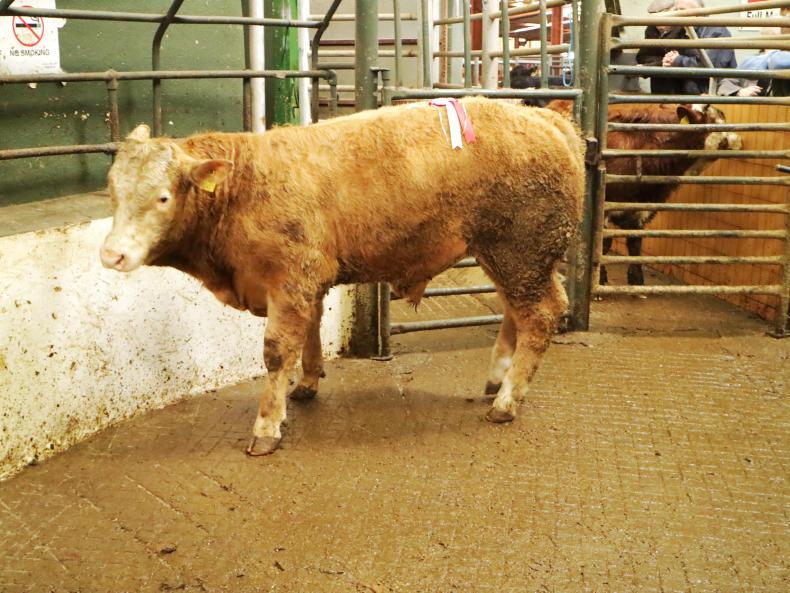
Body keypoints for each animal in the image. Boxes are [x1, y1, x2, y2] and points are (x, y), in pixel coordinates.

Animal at [99, 98, 585, 456]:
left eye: (163, 197)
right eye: (112, 189)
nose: (111, 254)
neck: (245, 187)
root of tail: (544, 117)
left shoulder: (291, 278)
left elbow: (277, 351)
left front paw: (266, 427)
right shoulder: (306, 280)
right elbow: (311, 329)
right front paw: (307, 383)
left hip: (520, 251)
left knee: (539, 315)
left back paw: (507, 400)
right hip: (508, 256)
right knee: (514, 312)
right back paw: (497, 379)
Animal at [547, 100, 740, 285]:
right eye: (716, 123)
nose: (738, 139)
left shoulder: (642, 207)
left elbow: (635, 242)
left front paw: (636, 277)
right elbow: (604, 243)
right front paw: (600, 277)